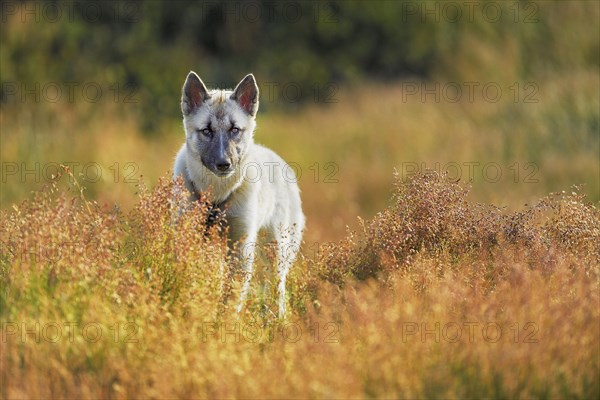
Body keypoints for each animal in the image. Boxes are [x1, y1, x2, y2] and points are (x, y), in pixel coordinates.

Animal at [172, 70, 304, 318]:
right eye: (207, 130)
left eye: (234, 129)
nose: (224, 164)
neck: (215, 198)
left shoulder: (241, 248)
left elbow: (232, 297)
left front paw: (224, 322)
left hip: (276, 252)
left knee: (278, 290)